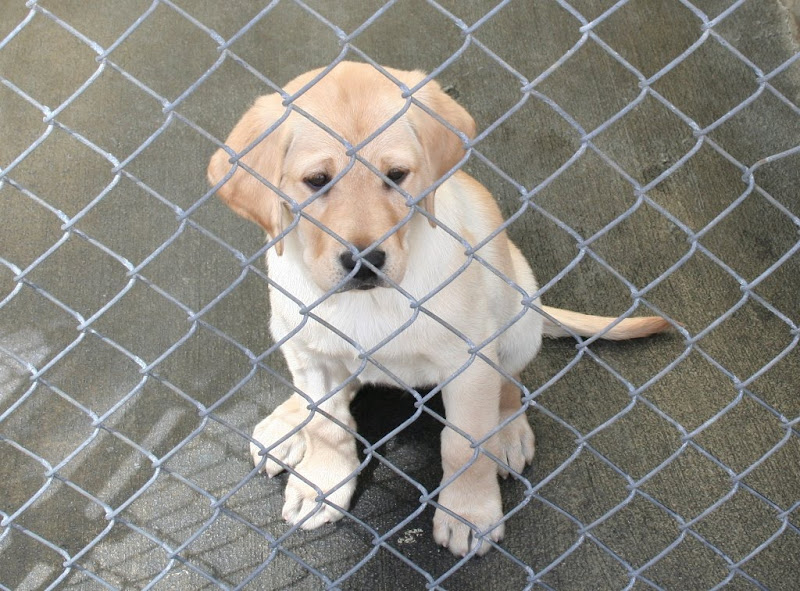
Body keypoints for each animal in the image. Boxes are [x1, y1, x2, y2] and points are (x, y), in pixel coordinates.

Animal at [207, 61, 670, 557]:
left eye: (396, 175)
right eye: (317, 181)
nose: (365, 261)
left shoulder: (469, 362)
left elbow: (465, 446)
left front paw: (468, 512)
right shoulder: (312, 354)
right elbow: (327, 427)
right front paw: (320, 484)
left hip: (518, 314)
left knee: (511, 384)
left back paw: (508, 432)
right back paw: (288, 421)